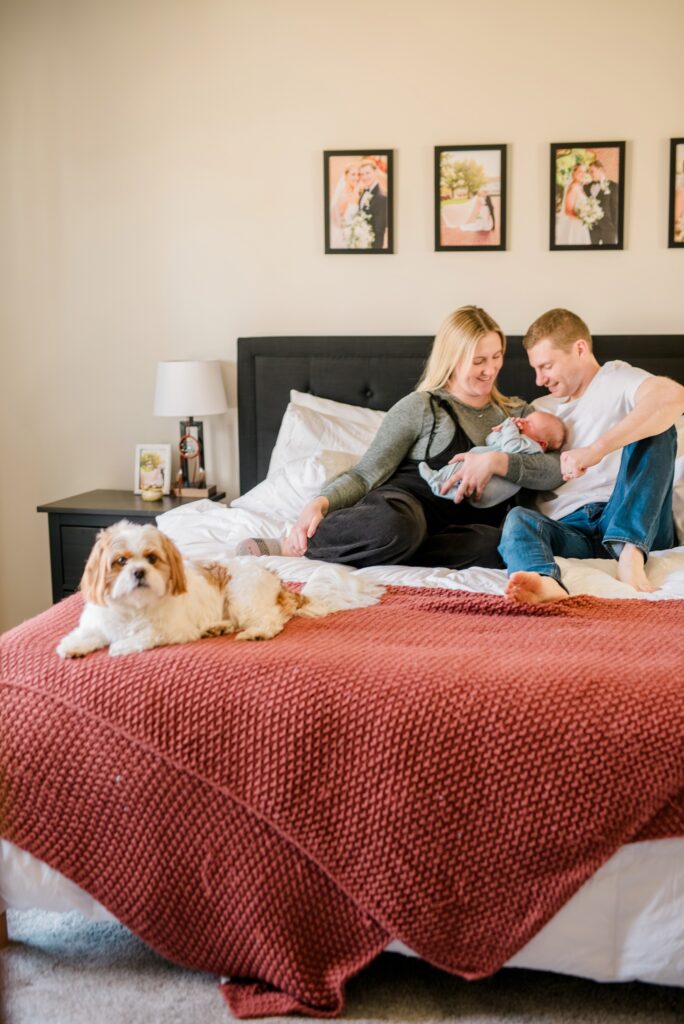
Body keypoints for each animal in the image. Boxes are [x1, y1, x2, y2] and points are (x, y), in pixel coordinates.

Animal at [56, 520, 384, 657]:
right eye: (120, 561)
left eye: (151, 558)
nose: (138, 572)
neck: (133, 607)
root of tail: (276, 580)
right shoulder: (98, 621)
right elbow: (84, 634)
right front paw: (73, 647)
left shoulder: (171, 629)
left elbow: (146, 634)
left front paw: (121, 646)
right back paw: (217, 628)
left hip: (241, 595)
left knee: (272, 620)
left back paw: (255, 632)